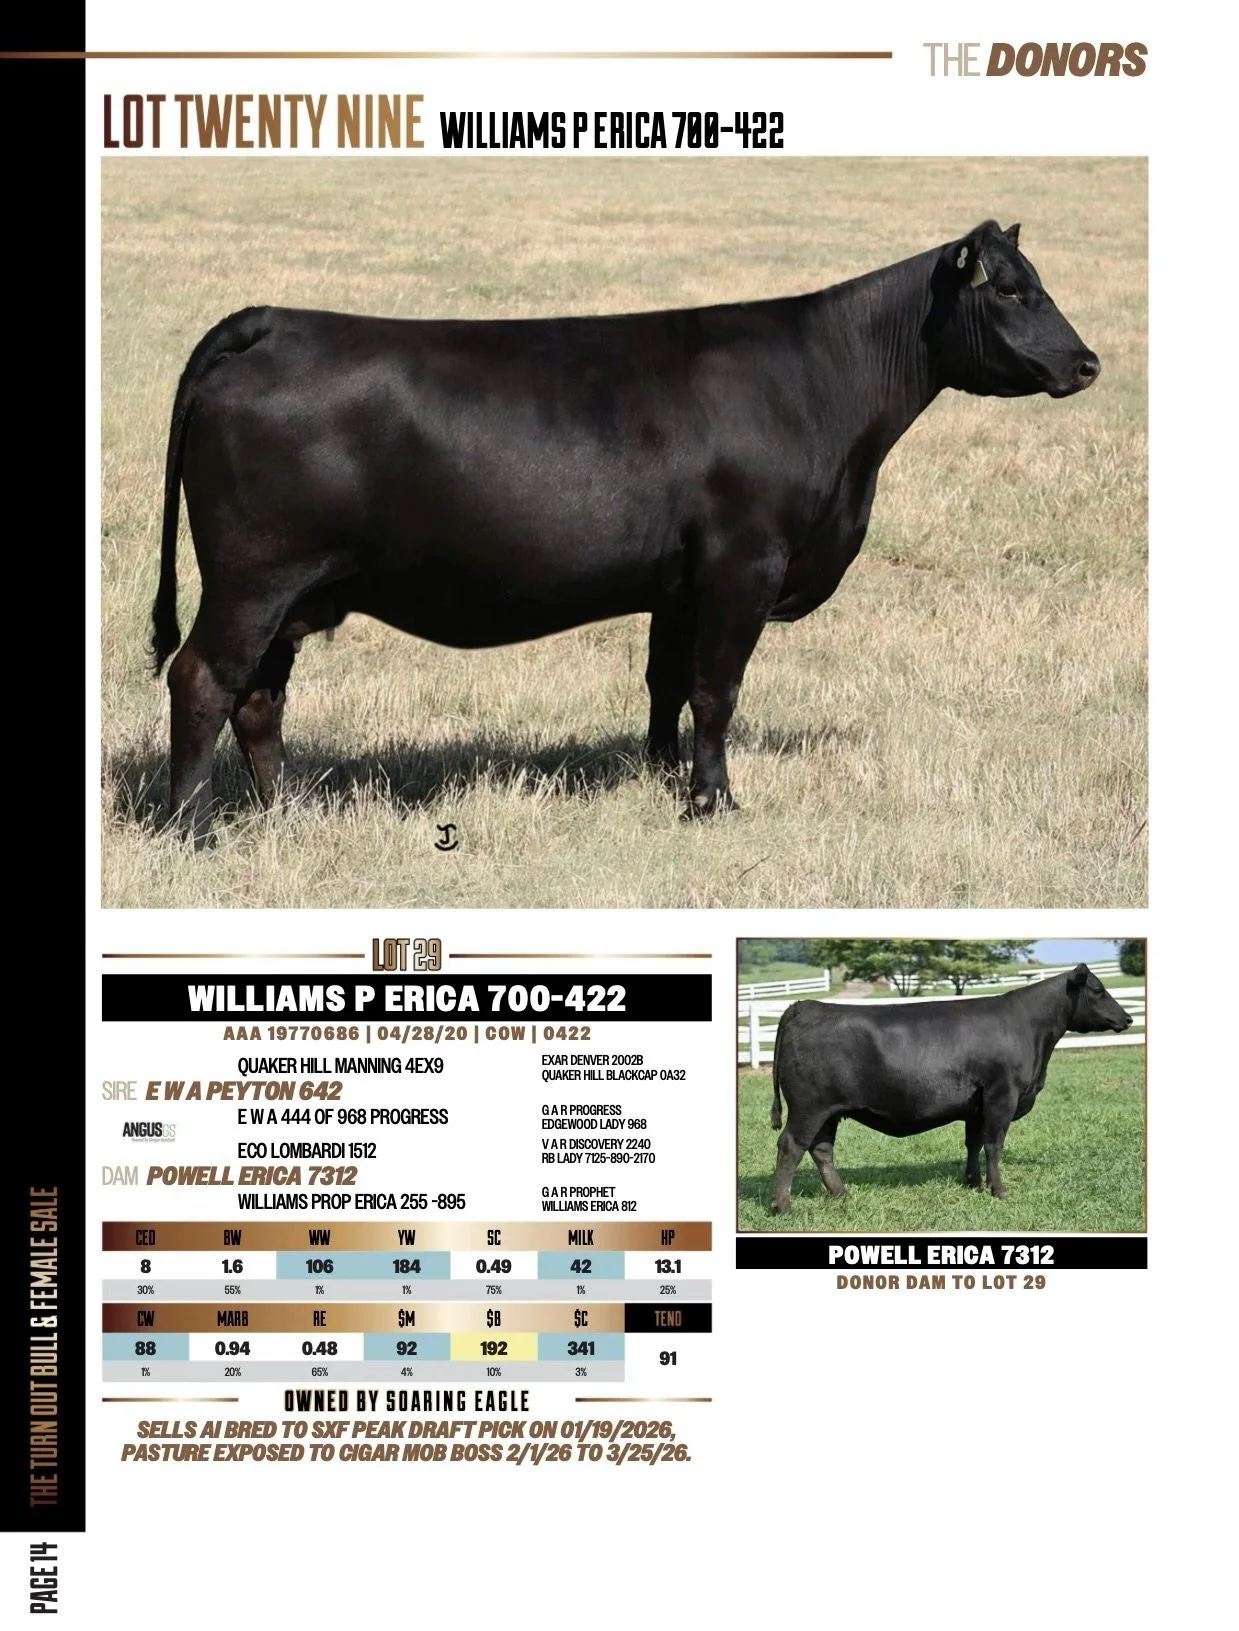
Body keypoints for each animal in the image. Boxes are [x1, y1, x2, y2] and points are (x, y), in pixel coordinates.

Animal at [150, 220, 1099, 840]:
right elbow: (716, 689)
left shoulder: (679, 583)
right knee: (204, 678)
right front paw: (713, 801)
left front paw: (658, 772)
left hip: (295, 591)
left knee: (260, 697)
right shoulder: (743, 563)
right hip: (253, 576)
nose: (1086, 362)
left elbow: (666, 681)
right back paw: (193, 827)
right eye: (1009, 288)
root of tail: (275, 320)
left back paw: (284, 815)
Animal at [768, 965, 1132, 1210]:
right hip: (809, 1106)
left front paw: (972, 1182)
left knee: (821, 1149)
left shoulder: (976, 1105)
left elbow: (973, 1143)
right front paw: (999, 1190)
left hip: (829, 1110)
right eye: (1098, 990)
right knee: (791, 1146)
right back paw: (782, 1206)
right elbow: (993, 1144)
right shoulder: (1002, 1096)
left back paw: (841, 1194)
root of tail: (804, 1005)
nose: (1127, 1018)